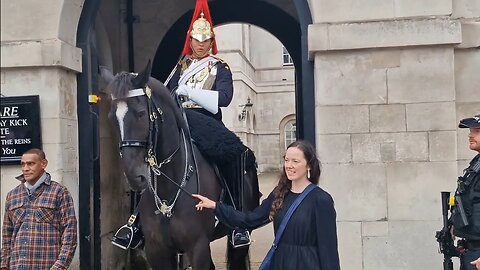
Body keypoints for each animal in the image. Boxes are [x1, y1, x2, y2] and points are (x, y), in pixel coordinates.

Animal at [99, 61, 260, 270]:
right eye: (112, 117)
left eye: (141, 113)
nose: (135, 176)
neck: (169, 187)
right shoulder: (157, 250)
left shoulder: (198, 247)